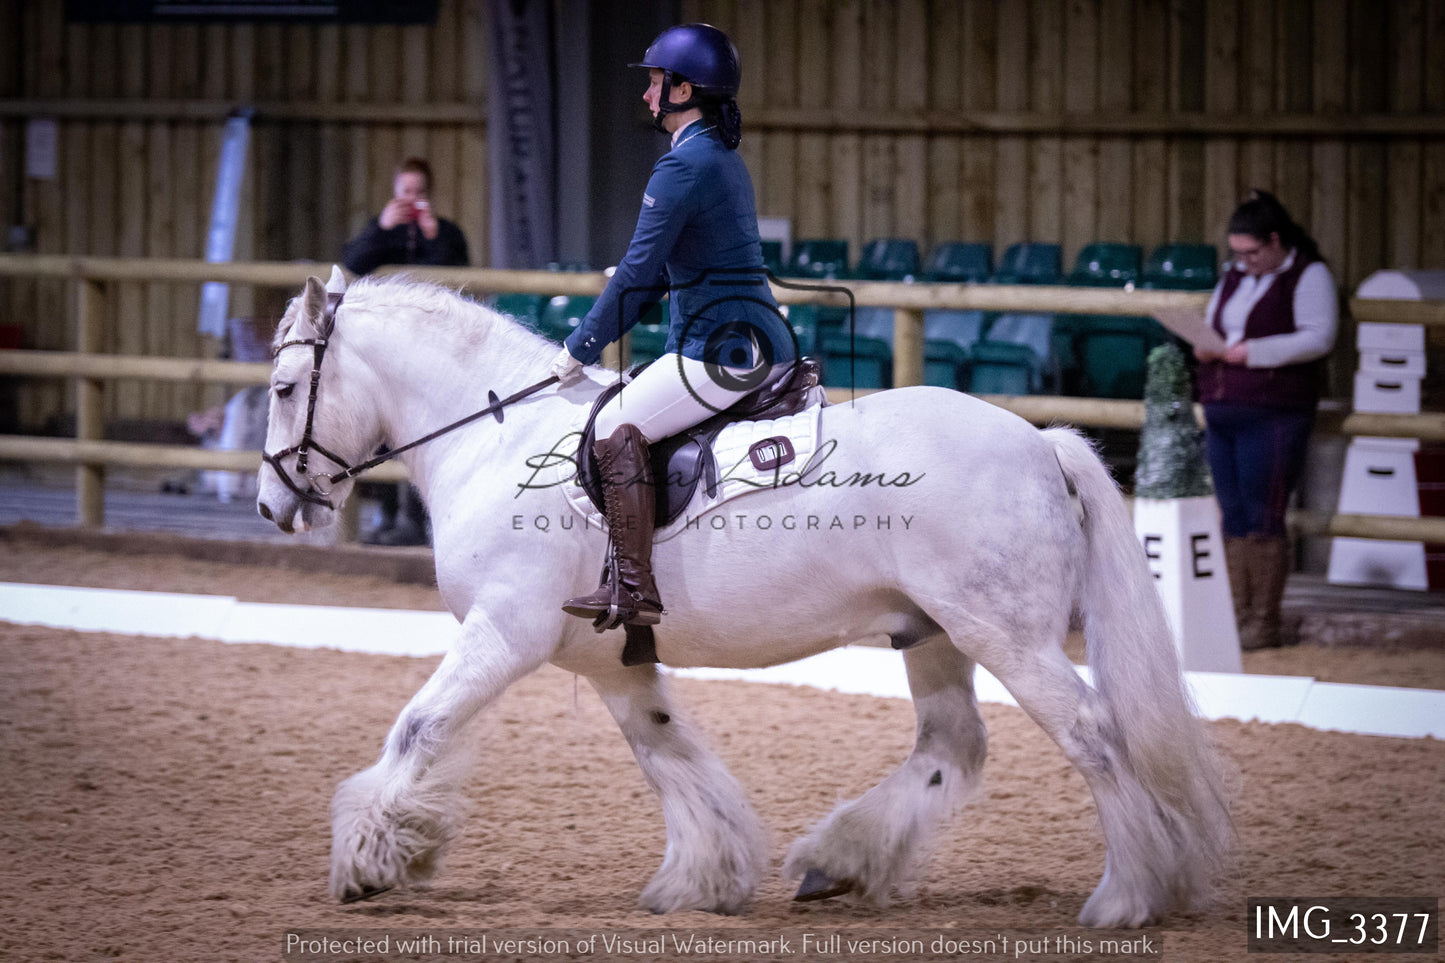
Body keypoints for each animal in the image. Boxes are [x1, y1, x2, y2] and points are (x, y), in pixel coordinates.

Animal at [260, 267, 1231, 925]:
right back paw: (838, 861)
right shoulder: (611, 661)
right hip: (933, 633)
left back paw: (1127, 894)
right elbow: (669, 754)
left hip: (1007, 636)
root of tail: (1038, 441)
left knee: (1091, 733)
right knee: (951, 745)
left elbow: (417, 725)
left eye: (282, 387)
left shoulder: (502, 633)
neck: (495, 439)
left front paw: (370, 859)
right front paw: (703, 878)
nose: (275, 505)